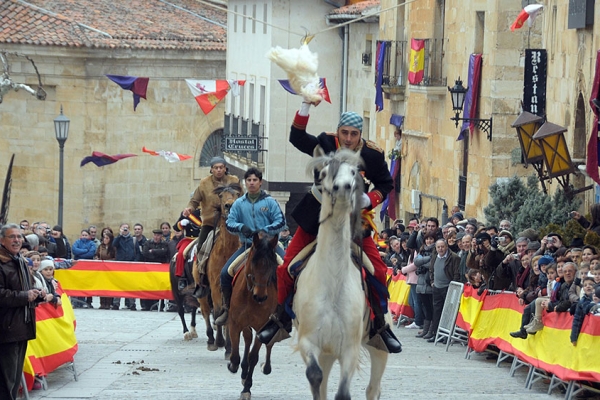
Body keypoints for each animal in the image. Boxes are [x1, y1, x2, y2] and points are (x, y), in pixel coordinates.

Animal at [227, 233, 278, 398]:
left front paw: (247, 388)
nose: (260, 296)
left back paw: (266, 367)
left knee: (269, 343)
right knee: (247, 338)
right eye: (253, 263)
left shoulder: (262, 327)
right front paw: (233, 366)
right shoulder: (235, 323)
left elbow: (254, 357)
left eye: (272, 266)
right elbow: (235, 355)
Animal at [294, 148, 390, 400]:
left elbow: (343, 393)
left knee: (373, 388)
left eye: (354, 172)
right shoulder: (309, 342)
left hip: (378, 347)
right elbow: (315, 378)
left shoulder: (350, 349)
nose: (343, 188)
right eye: (324, 173)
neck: (333, 283)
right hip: (327, 353)